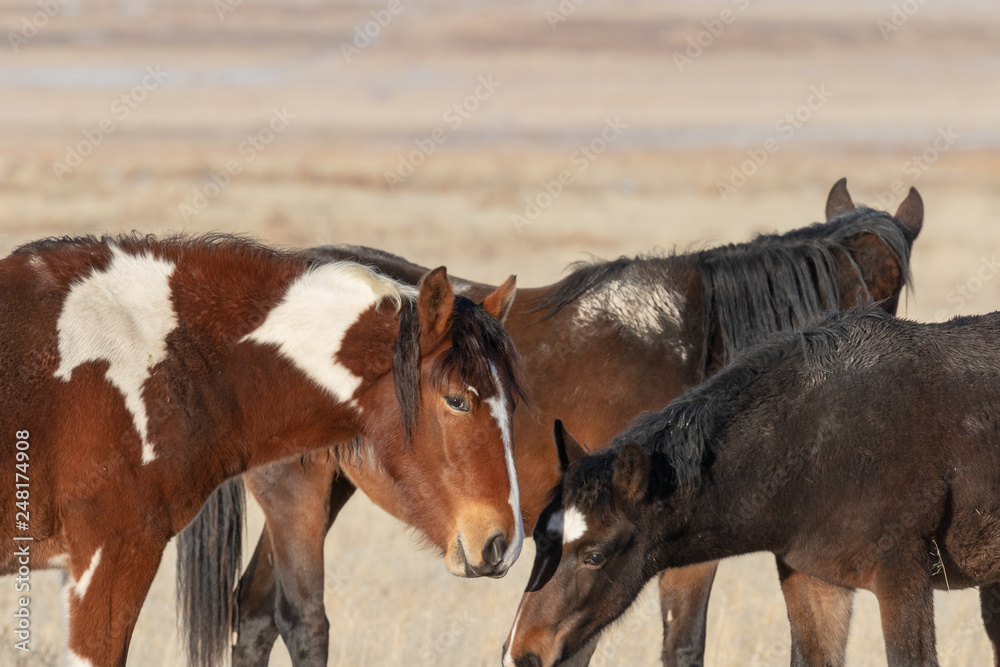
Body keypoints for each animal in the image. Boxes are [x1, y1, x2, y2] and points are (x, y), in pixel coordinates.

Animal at [178, 179, 922, 666]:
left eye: (896, 289)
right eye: (868, 288)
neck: (704, 348)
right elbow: (678, 645)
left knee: (253, 612)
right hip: (298, 492)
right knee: (301, 619)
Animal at [504, 307, 1000, 667]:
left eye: (595, 556)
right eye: (539, 542)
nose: (522, 654)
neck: (819, 444)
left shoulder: (902, 573)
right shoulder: (814, 580)